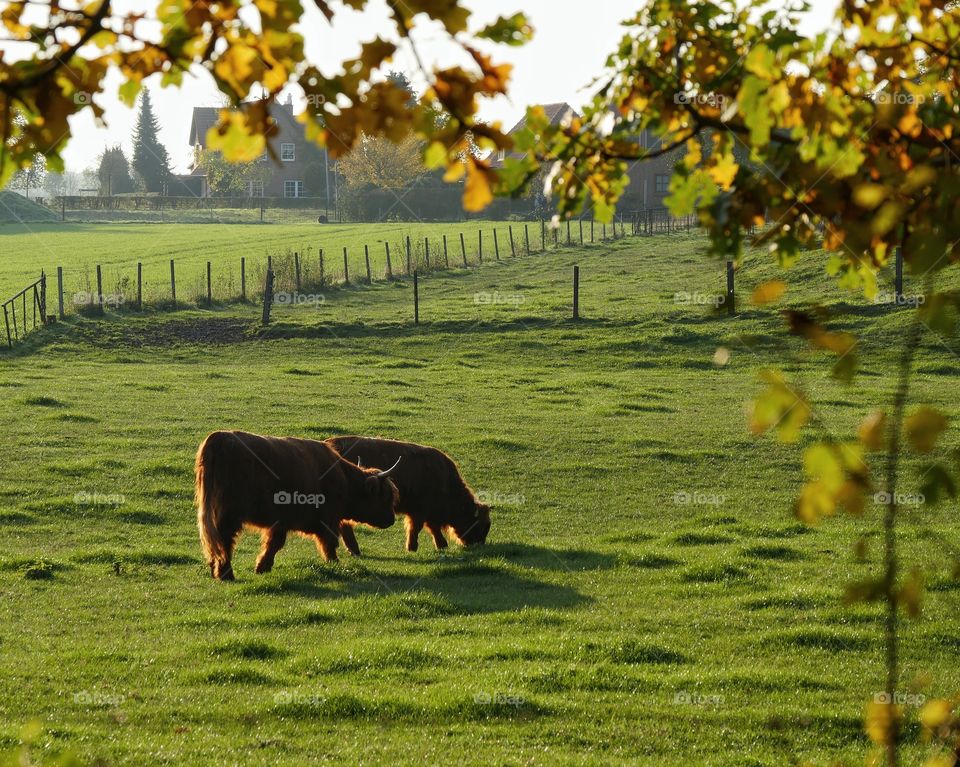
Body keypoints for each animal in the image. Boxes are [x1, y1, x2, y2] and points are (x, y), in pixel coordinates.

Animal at [197, 432, 400, 584]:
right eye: (385, 496)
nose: (391, 519)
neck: (345, 480)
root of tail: (219, 437)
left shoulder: (281, 522)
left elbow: (273, 544)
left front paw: (262, 567)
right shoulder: (328, 519)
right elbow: (329, 543)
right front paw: (334, 563)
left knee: (212, 539)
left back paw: (214, 569)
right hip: (229, 515)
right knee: (224, 540)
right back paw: (226, 574)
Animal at [326, 438, 492, 560]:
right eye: (481, 524)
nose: (479, 544)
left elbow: (431, 528)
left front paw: (441, 545)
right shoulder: (419, 511)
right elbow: (418, 528)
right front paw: (413, 548)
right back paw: (355, 550)